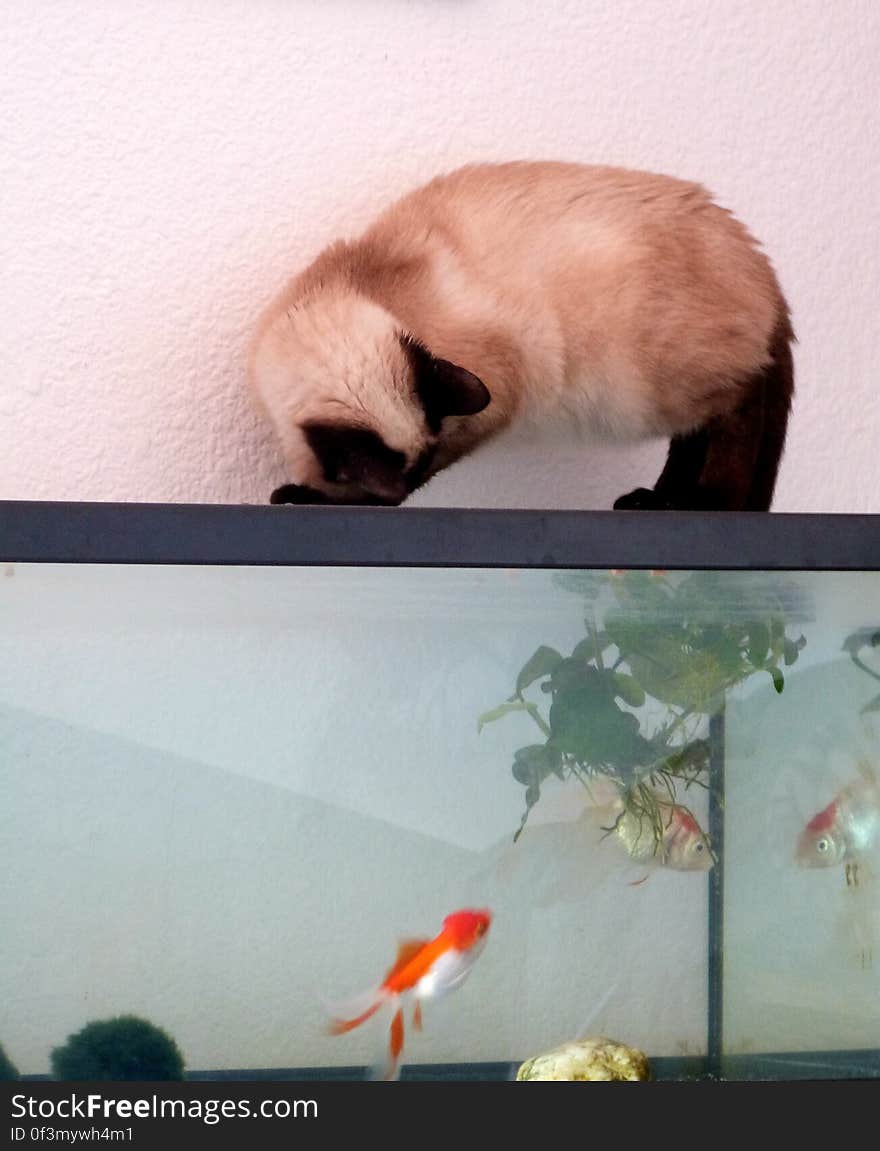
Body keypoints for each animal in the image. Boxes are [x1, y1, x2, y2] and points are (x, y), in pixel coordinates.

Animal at [248, 161, 796, 508]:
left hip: (650, 389)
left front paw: (312, 497)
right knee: (694, 436)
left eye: (421, 472)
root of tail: (763, 267)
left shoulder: (492, 396)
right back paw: (661, 500)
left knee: (734, 411)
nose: (400, 493)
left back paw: (702, 503)